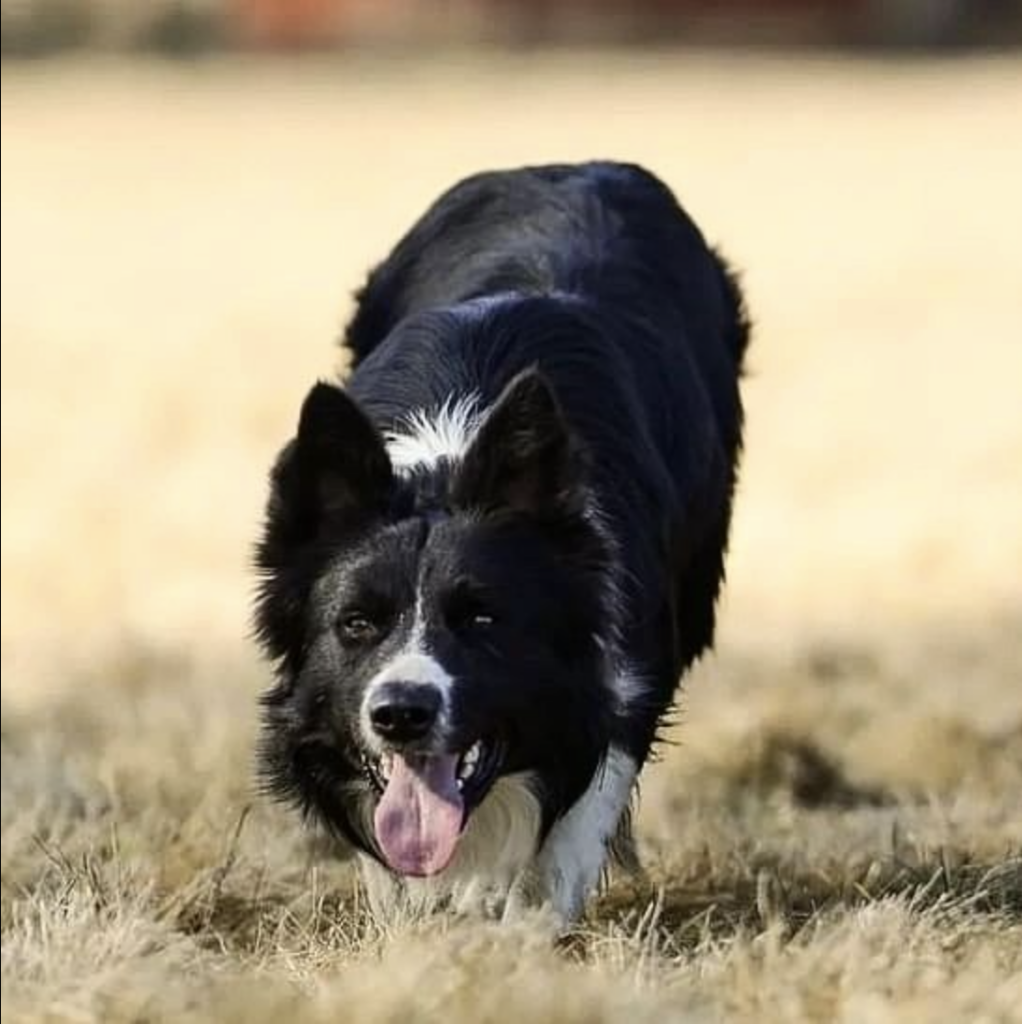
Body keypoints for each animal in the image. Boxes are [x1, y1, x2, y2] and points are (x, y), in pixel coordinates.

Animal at [256, 159, 753, 921]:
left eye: (483, 619)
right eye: (356, 624)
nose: (401, 715)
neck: (447, 459)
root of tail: (570, 166)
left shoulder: (623, 669)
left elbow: (573, 828)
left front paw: (521, 930)